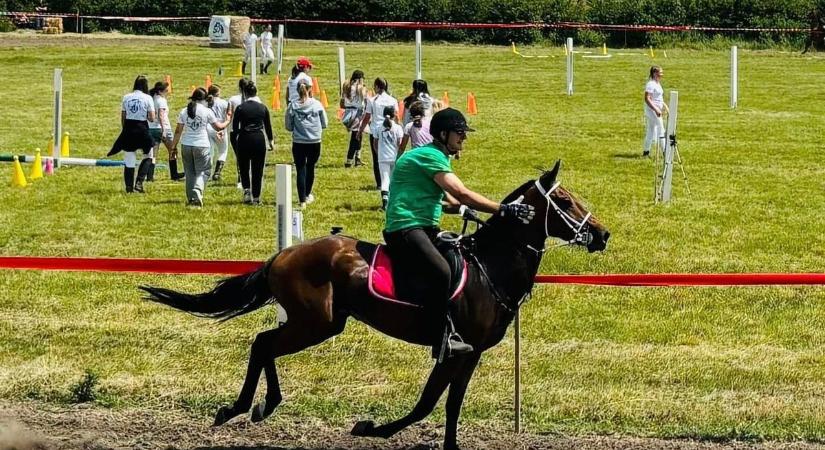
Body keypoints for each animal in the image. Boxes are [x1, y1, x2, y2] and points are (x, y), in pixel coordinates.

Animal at [140, 160, 604, 448]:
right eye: (564, 201)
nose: (602, 234)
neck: (488, 266)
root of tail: (284, 255)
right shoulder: (453, 349)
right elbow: (427, 403)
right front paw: (369, 428)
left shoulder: (471, 353)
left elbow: (450, 404)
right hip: (316, 324)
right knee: (263, 343)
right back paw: (242, 407)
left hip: (318, 323)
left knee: (265, 343)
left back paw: (257, 406)